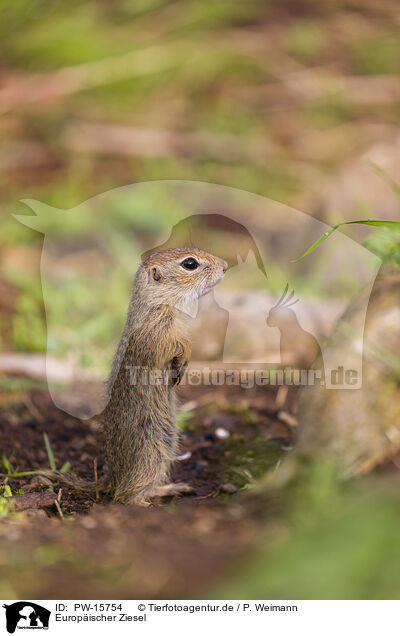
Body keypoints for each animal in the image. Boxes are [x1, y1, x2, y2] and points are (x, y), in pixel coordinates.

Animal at [43, 248, 227, 506]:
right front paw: (184, 355)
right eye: (190, 264)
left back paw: (169, 488)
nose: (225, 266)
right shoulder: (156, 334)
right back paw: (145, 503)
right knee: (123, 495)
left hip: (168, 444)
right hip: (151, 452)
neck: (159, 304)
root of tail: (111, 476)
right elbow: (175, 345)